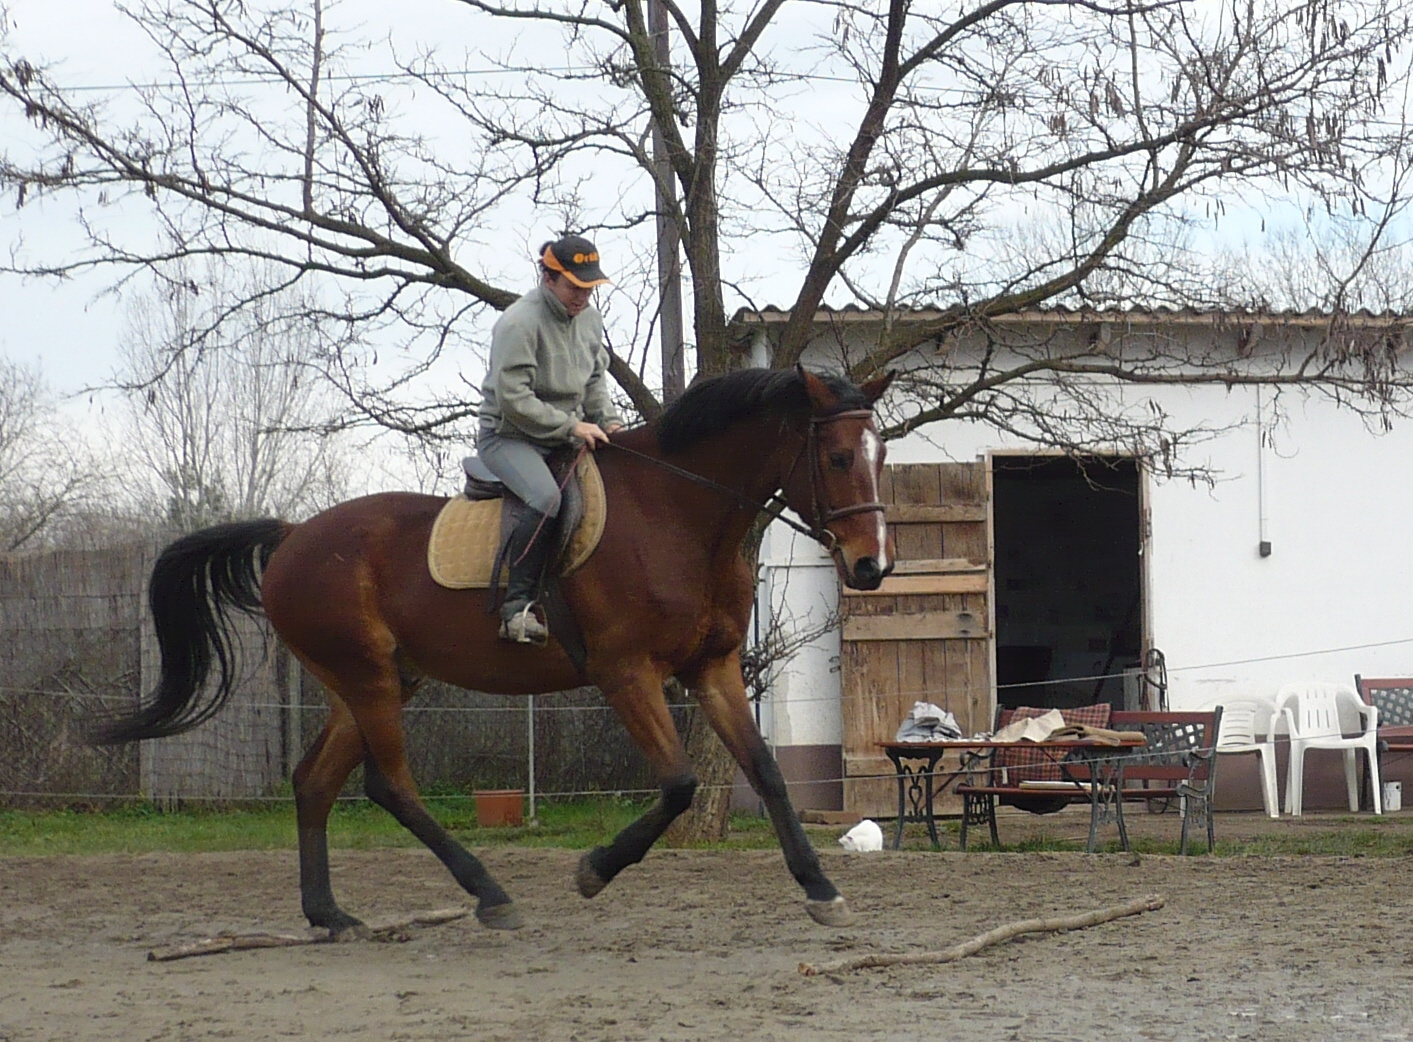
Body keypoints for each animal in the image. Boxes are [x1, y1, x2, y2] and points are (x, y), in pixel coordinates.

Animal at [93, 367, 893, 933]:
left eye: (880, 456)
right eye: (838, 456)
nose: (871, 567)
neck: (680, 513)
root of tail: (292, 536)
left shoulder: (713, 667)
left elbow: (767, 772)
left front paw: (821, 889)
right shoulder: (625, 672)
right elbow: (678, 785)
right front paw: (594, 872)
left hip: (375, 681)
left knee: (315, 782)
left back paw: (330, 915)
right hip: (368, 678)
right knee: (390, 785)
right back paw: (489, 893)